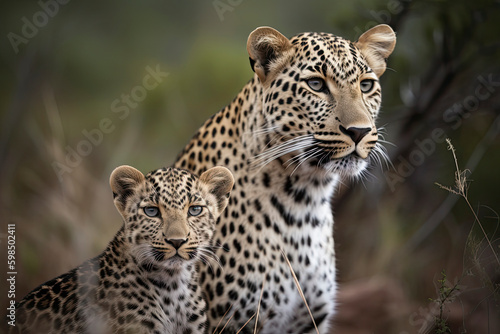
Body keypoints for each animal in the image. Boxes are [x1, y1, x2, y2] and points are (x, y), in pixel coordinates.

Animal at [174, 24, 396, 334]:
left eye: (365, 86)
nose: (359, 131)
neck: (305, 200)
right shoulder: (231, 322)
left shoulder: (307, 321)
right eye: (316, 85)